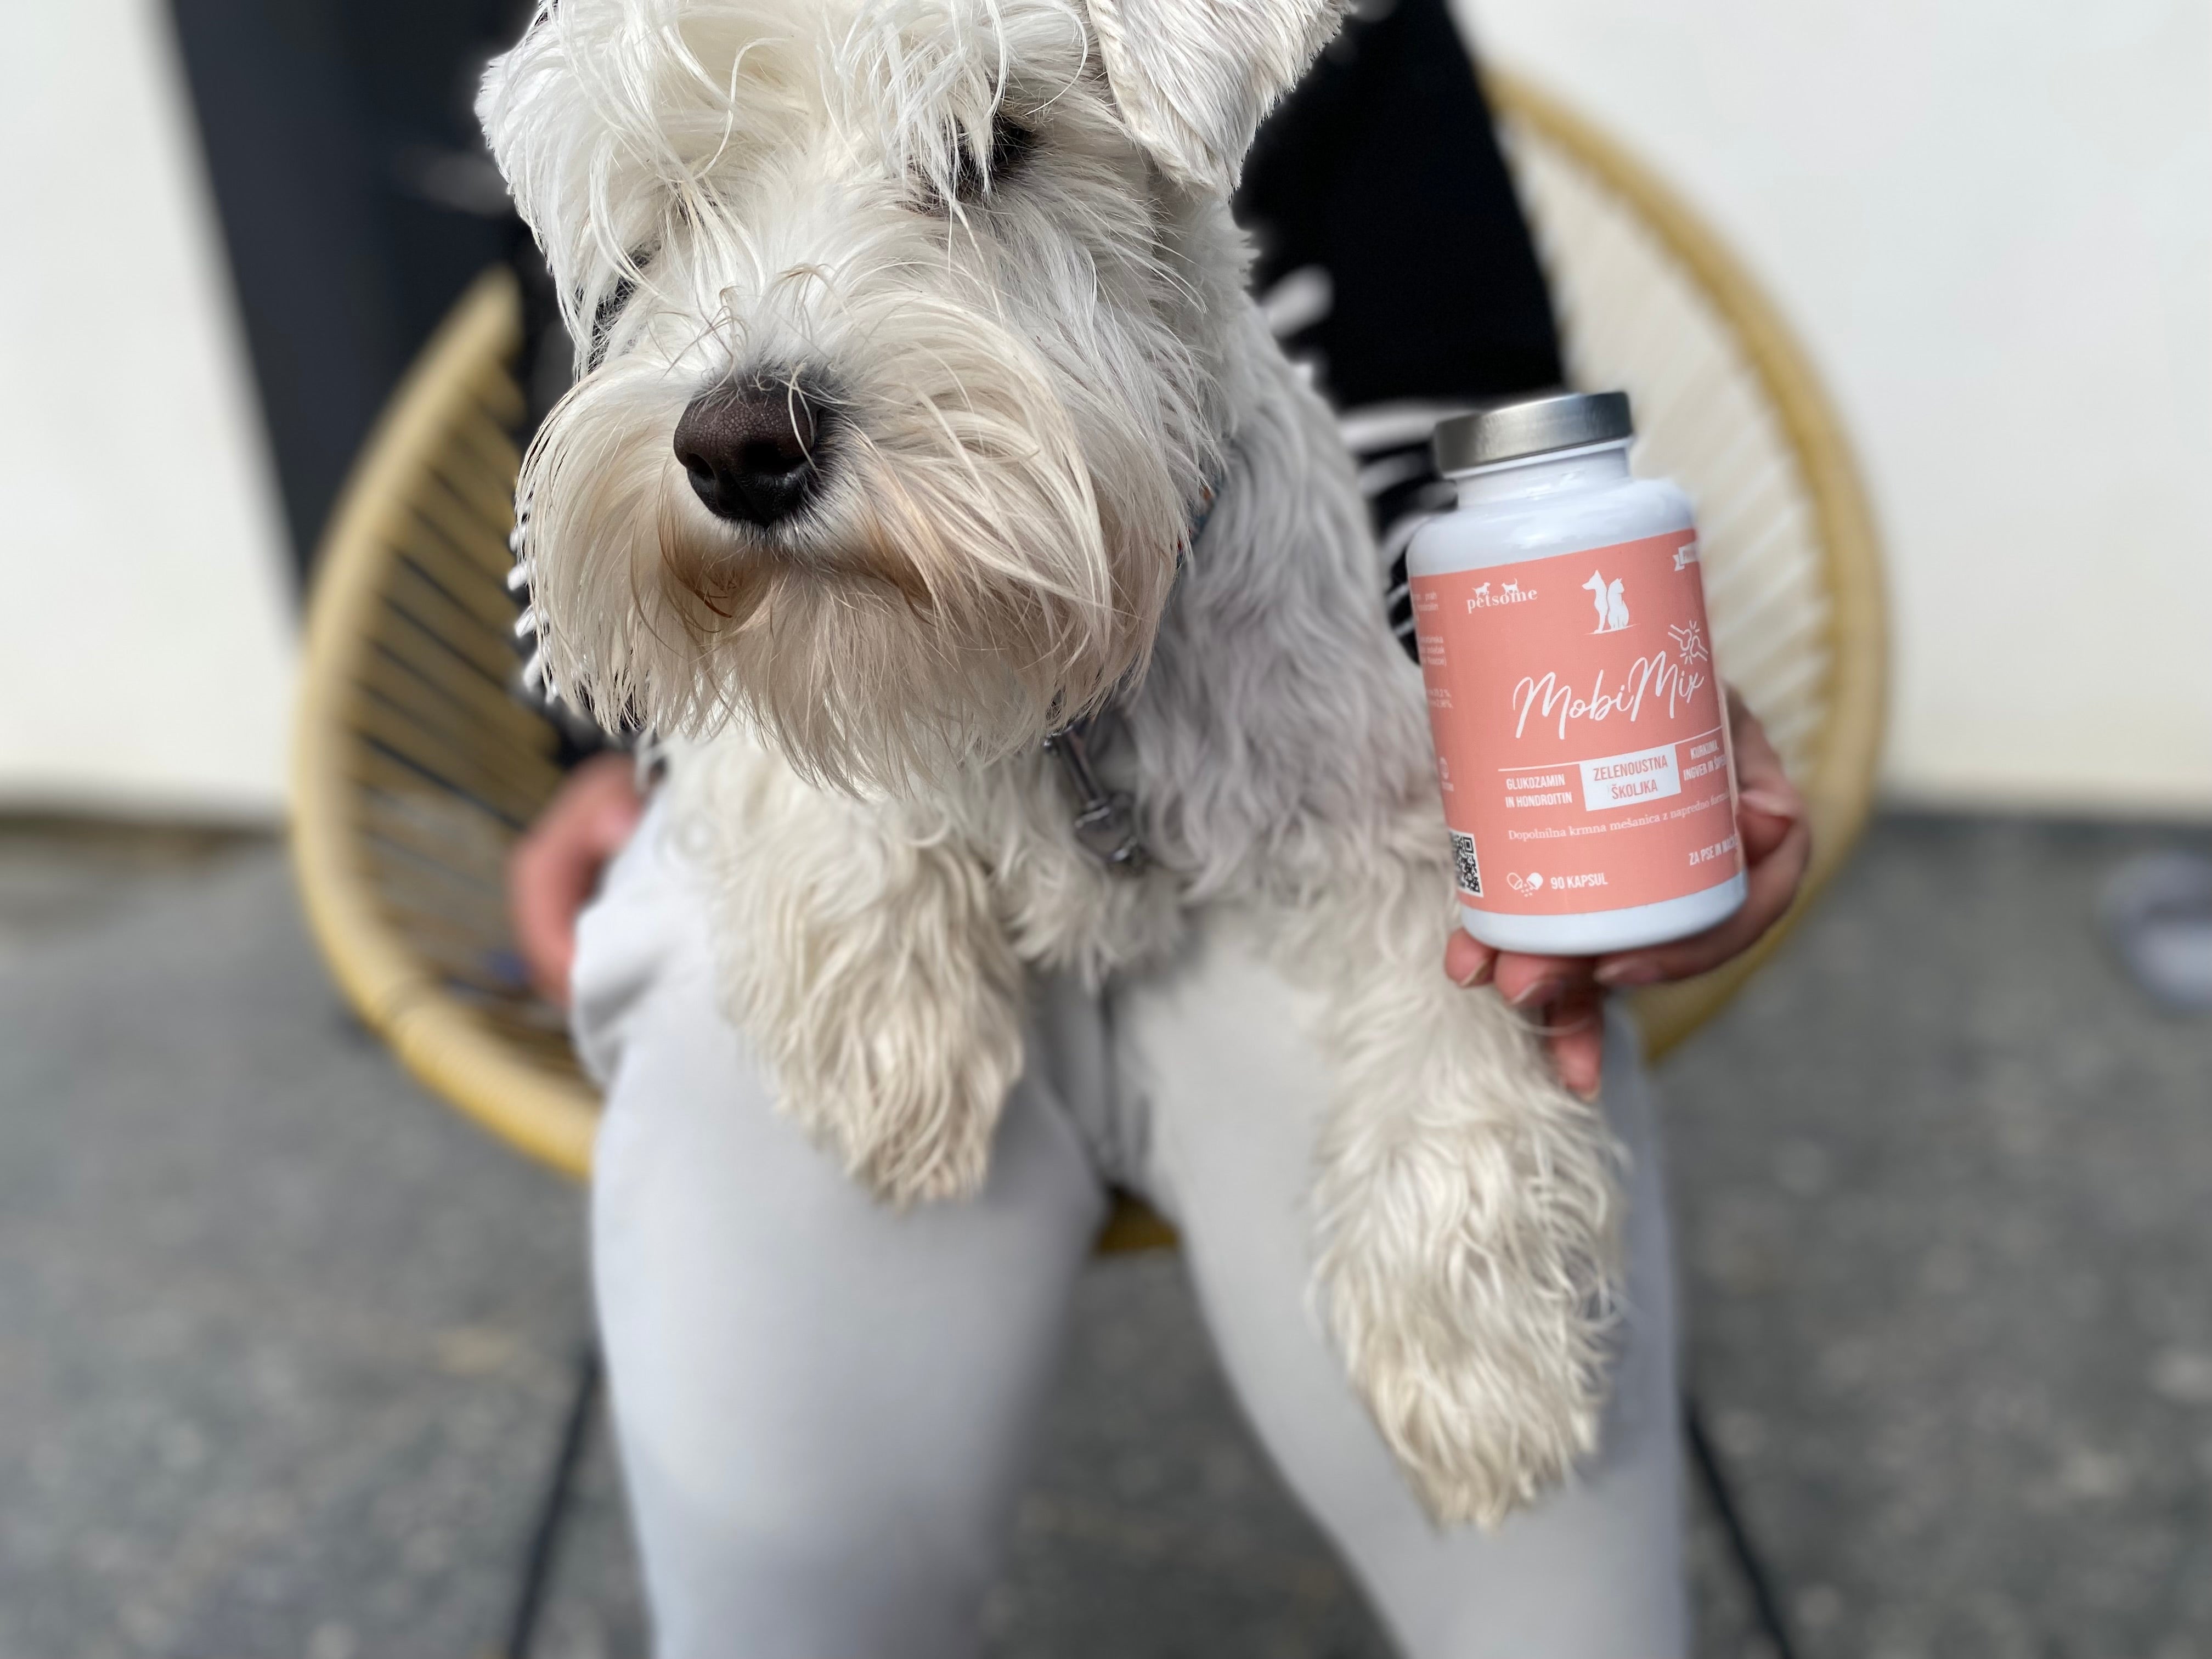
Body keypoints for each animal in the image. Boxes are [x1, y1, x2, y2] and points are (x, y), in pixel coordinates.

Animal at [482, 0, 1622, 1527]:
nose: (737, 446)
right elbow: (802, 769)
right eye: (669, 208)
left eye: (993, 145)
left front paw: (1485, 1376)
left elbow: (1458, 1067)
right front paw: (894, 1035)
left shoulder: (1384, 814)